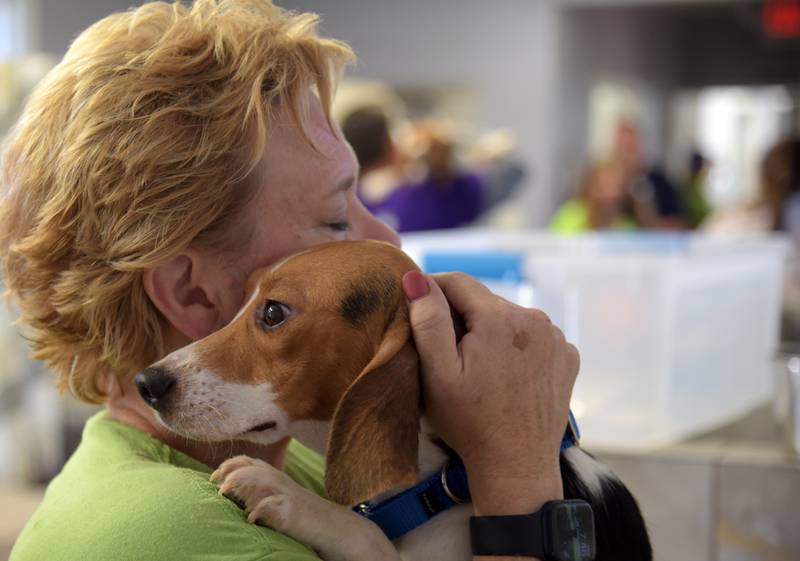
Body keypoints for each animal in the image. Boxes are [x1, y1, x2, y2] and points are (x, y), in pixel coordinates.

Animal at [136, 240, 648, 560]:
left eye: (273, 312)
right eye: (239, 302)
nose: (147, 382)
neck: (442, 483)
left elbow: (365, 533)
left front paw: (288, 495)